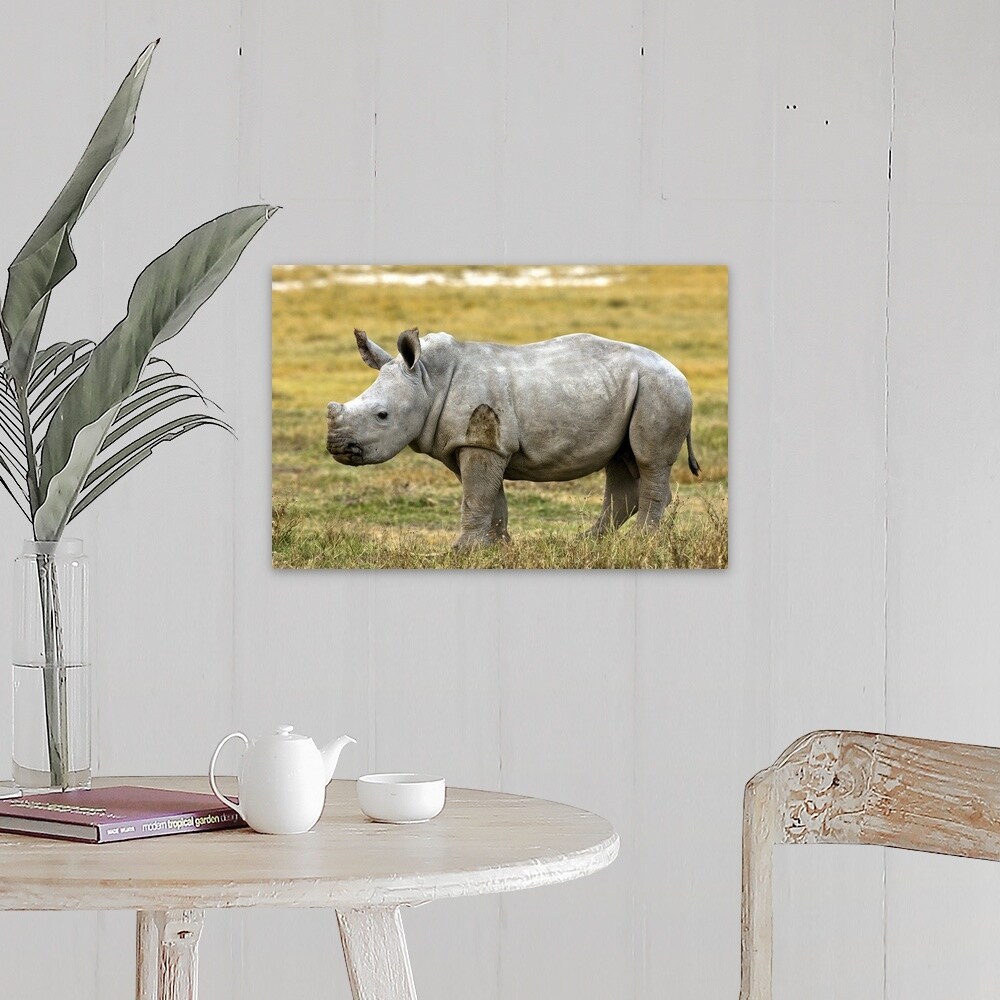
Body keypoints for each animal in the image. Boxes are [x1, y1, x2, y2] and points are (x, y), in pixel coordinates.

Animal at [326, 327, 699, 550]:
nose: (336, 447)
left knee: (649, 460)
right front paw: (497, 548)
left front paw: (461, 551)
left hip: (660, 388)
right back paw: (587, 544)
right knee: (621, 462)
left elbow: (476, 495)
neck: (427, 379)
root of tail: (677, 370)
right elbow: (488, 496)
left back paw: (640, 544)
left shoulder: (479, 442)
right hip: (633, 389)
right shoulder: (474, 443)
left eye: (382, 415)